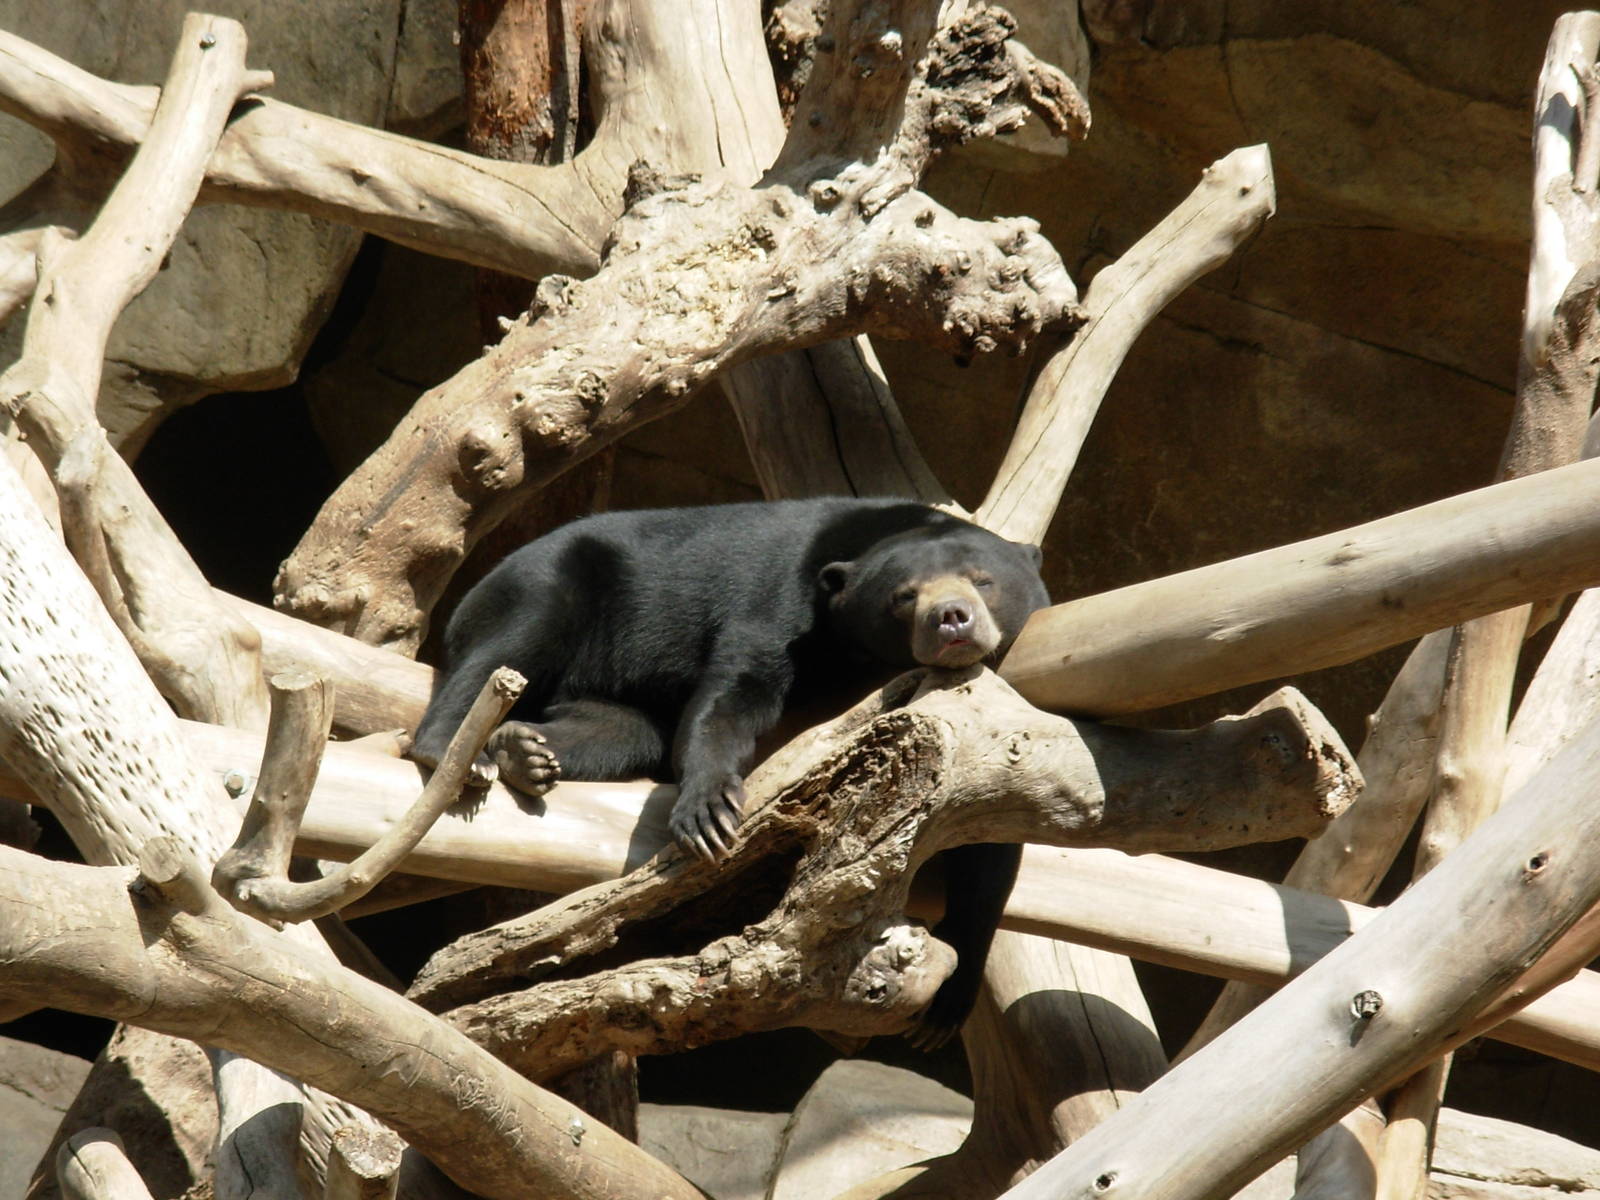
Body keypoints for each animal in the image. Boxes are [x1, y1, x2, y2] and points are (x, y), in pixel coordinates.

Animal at [410, 497, 1050, 1044]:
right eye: (903, 596)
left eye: (984, 580)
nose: (951, 619)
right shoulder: (780, 601)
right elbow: (735, 693)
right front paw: (710, 815)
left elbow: (991, 842)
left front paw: (944, 1009)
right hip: (554, 582)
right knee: (509, 645)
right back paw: (454, 754)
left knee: (617, 731)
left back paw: (524, 749)